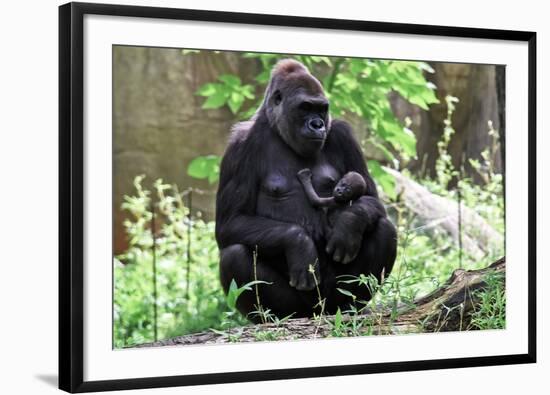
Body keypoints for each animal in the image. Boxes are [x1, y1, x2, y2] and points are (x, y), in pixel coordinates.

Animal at [216, 59, 396, 322]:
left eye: (322, 109)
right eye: (305, 107)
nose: (318, 125)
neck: (276, 128)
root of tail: (316, 312)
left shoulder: (343, 134)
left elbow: (371, 200)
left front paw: (349, 223)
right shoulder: (239, 146)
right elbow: (230, 222)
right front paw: (299, 244)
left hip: (330, 300)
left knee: (384, 228)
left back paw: (349, 306)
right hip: (302, 307)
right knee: (234, 254)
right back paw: (273, 317)